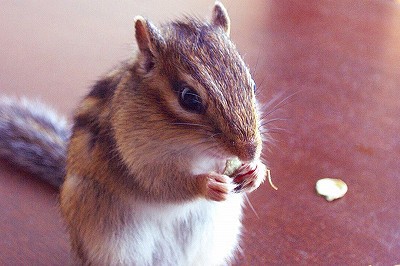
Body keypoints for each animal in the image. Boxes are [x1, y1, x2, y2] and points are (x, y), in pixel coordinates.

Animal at [0, 2, 268, 266]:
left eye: (253, 85)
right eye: (189, 98)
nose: (250, 151)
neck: (193, 149)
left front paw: (255, 172)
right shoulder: (135, 156)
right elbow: (161, 183)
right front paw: (207, 183)